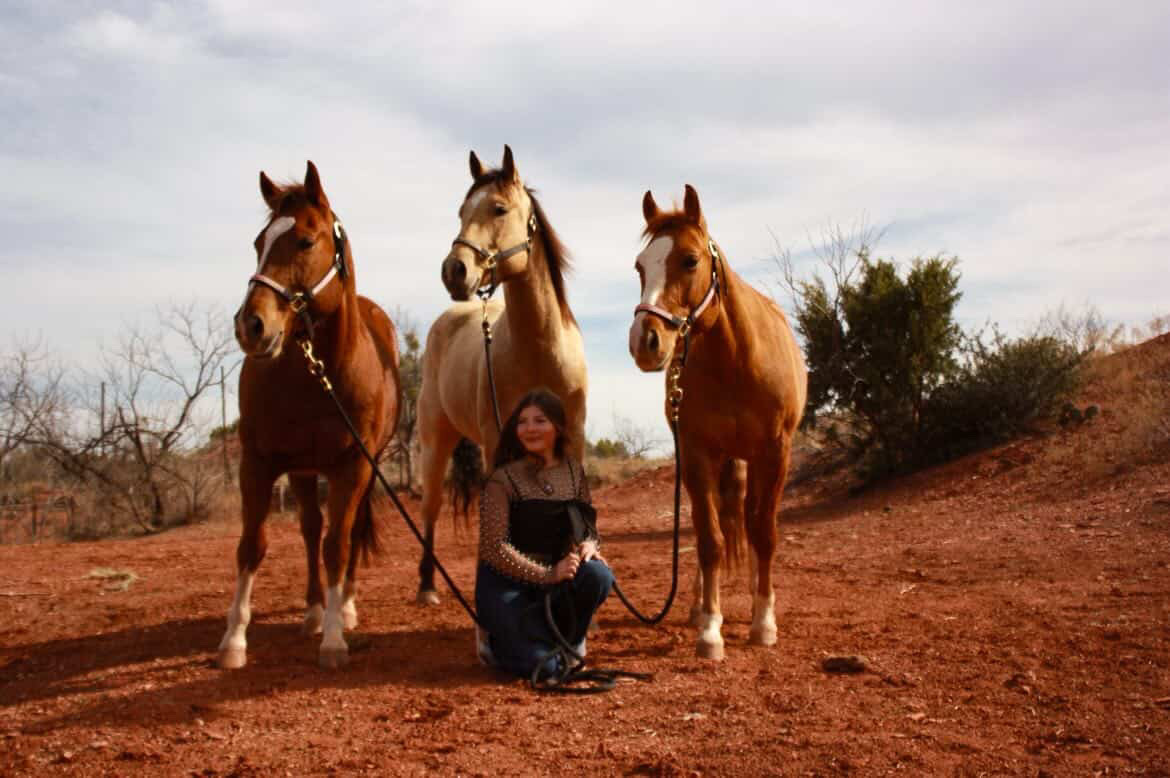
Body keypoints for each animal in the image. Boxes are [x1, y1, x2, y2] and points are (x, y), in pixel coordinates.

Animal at [221, 160, 400, 669]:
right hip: (302, 470)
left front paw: (336, 639)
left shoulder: (353, 466)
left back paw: (345, 607)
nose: (251, 325)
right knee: (309, 530)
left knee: (345, 534)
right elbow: (253, 545)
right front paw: (234, 640)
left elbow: (338, 545)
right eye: (258, 243)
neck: (313, 376)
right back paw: (316, 610)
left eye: (305, 241)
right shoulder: (258, 462)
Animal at [415, 145, 587, 604]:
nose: (453, 270)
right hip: (434, 443)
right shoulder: (497, 444)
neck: (541, 353)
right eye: (461, 211)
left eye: (498, 208)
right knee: (430, 509)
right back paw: (427, 586)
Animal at [627, 185, 807, 659]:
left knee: (750, 521)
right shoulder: (697, 453)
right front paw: (710, 628)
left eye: (690, 260)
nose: (644, 342)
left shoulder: (775, 453)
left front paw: (763, 622)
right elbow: (709, 540)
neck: (738, 361)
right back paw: (697, 606)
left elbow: (764, 533)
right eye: (640, 266)